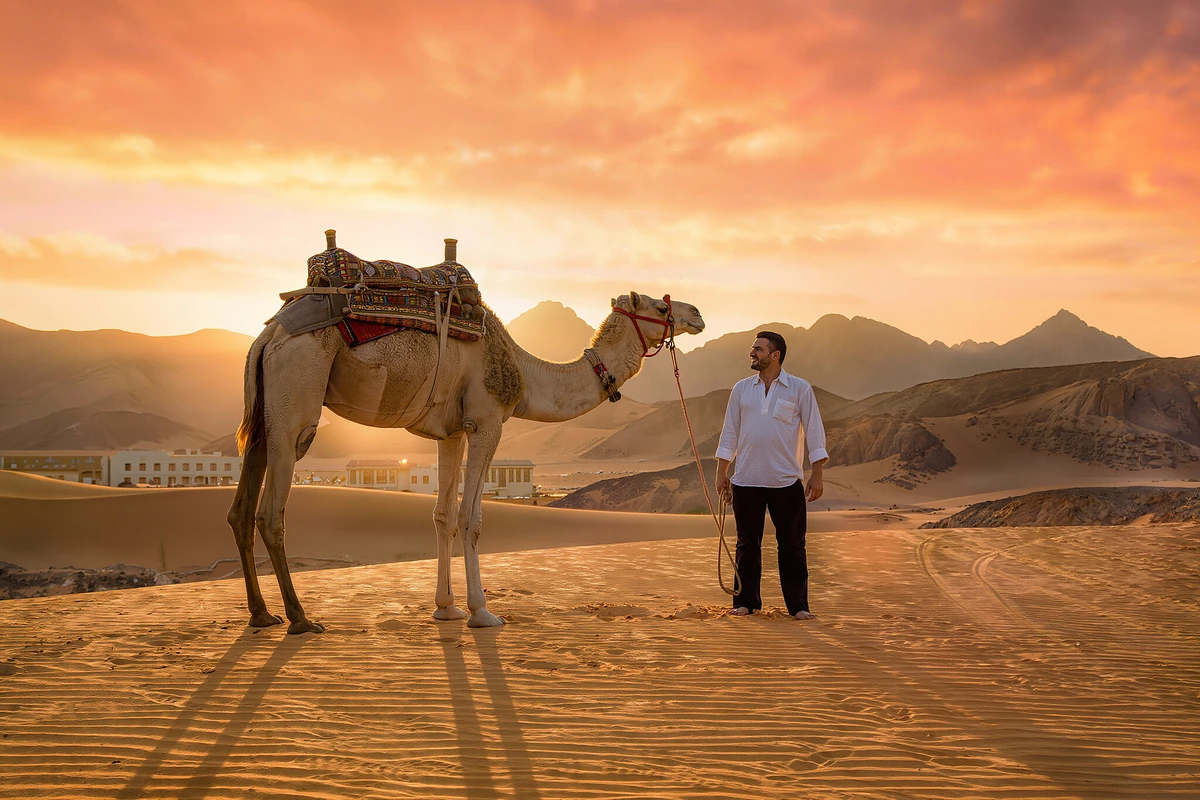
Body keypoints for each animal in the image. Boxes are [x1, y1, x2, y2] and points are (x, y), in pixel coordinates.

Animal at [227, 291, 705, 633]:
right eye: (661, 305)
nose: (698, 313)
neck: (524, 373)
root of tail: (268, 337)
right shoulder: (486, 421)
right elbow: (471, 519)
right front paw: (482, 612)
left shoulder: (452, 432)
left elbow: (442, 516)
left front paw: (446, 609)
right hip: (296, 398)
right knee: (271, 511)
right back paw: (299, 618)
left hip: (264, 411)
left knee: (240, 509)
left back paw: (261, 615)